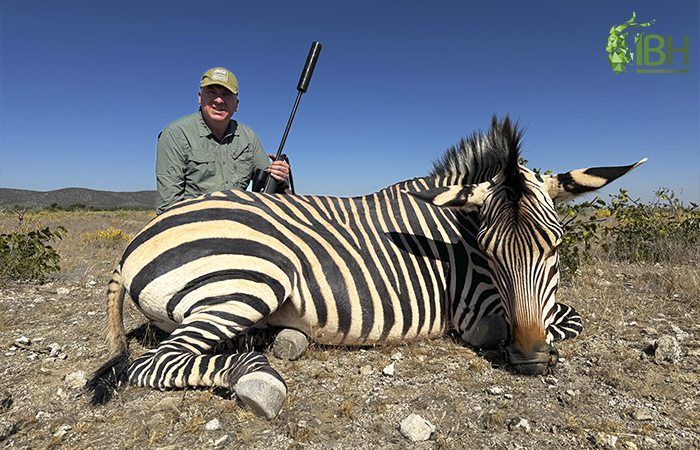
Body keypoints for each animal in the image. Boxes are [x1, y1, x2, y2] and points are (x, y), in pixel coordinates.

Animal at [87, 116, 644, 418]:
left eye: (555, 246)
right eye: (487, 252)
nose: (529, 359)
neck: (457, 234)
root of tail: (133, 243)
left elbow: (564, 315)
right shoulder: (477, 313)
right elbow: (564, 319)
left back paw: (278, 341)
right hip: (249, 279)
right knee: (151, 363)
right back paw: (257, 378)